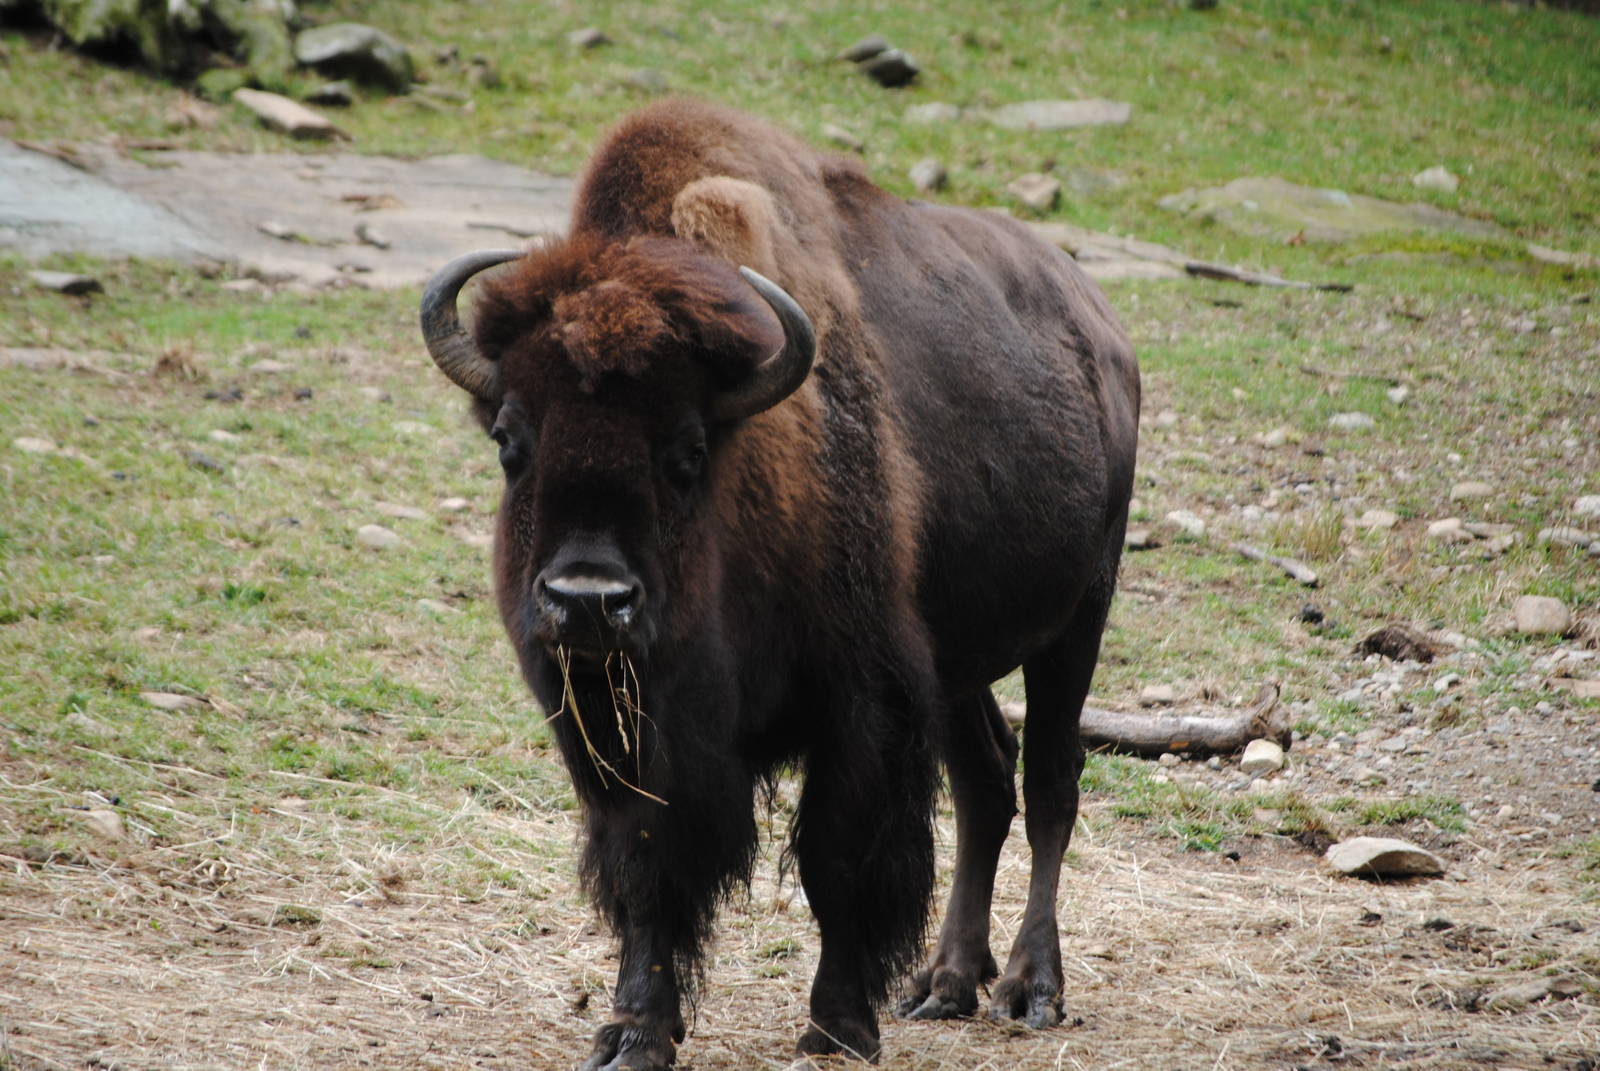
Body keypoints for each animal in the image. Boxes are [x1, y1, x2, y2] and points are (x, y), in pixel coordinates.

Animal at [418, 99, 1139, 1069]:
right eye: (508, 438)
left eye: (688, 450)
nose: (588, 600)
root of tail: (1102, 332)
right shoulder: (625, 735)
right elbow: (648, 869)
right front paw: (634, 1030)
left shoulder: (862, 701)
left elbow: (837, 857)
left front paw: (838, 1026)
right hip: (959, 664)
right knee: (986, 780)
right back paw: (945, 981)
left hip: (1077, 620)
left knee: (1051, 784)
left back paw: (1032, 988)